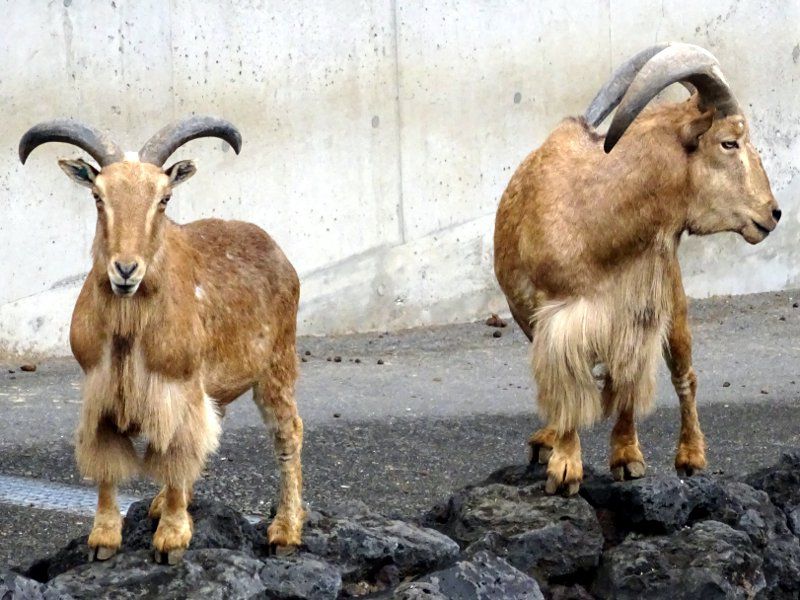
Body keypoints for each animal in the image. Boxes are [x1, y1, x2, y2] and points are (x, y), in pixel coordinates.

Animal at [19, 117, 304, 563]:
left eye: (164, 199)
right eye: (98, 196)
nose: (125, 269)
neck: (129, 330)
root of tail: (277, 251)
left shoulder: (175, 386)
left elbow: (175, 452)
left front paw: (171, 539)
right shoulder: (100, 390)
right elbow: (108, 460)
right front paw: (103, 539)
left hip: (277, 364)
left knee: (287, 433)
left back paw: (285, 533)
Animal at [493, 43, 781, 495]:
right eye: (729, 142)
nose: (772, 213)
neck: (602, 212)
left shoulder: (637, 312)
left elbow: (630, 380)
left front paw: (624, 458)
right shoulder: (556, 319)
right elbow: (569, 390)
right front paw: (564, 466)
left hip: (673, 304)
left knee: (683, 376)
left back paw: (686, 457)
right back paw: (549, 439)